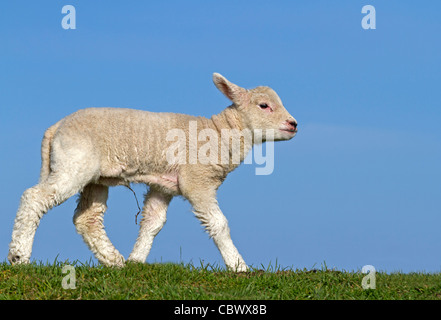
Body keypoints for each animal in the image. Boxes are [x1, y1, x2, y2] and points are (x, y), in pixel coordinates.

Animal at [7, 74, 296, 272]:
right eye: (264, 106)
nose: (293, 124)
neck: (219, 134)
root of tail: (56, 127)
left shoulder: (163, 184)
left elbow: (153, 222)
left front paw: (136, 259)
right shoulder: (196, 181)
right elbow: (218, 223)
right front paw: (239, 267)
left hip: (93, 176)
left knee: (87, 218)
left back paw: (115, 261)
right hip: (73, 163)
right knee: (34, 198)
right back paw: (19, 256)